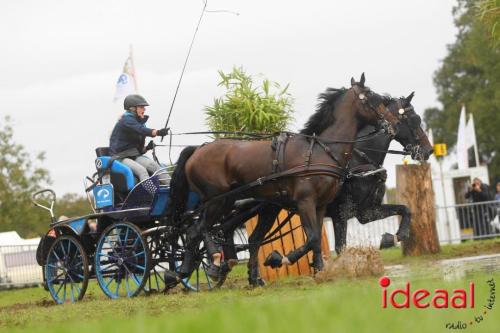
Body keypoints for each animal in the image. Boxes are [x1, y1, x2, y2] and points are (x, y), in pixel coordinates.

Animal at [170, 73, 400, 278]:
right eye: (372, 97)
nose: (393, 123)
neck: (322, 150)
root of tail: (199, 148)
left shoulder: (321, 205)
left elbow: (316, 239)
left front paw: (319, 270)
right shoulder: (306, 202)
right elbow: (313, 238)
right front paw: (280, 258)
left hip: (236, 203)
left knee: (209, 232)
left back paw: (186, 271)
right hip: (217, 201)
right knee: (198, 230)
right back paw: (214, 263)